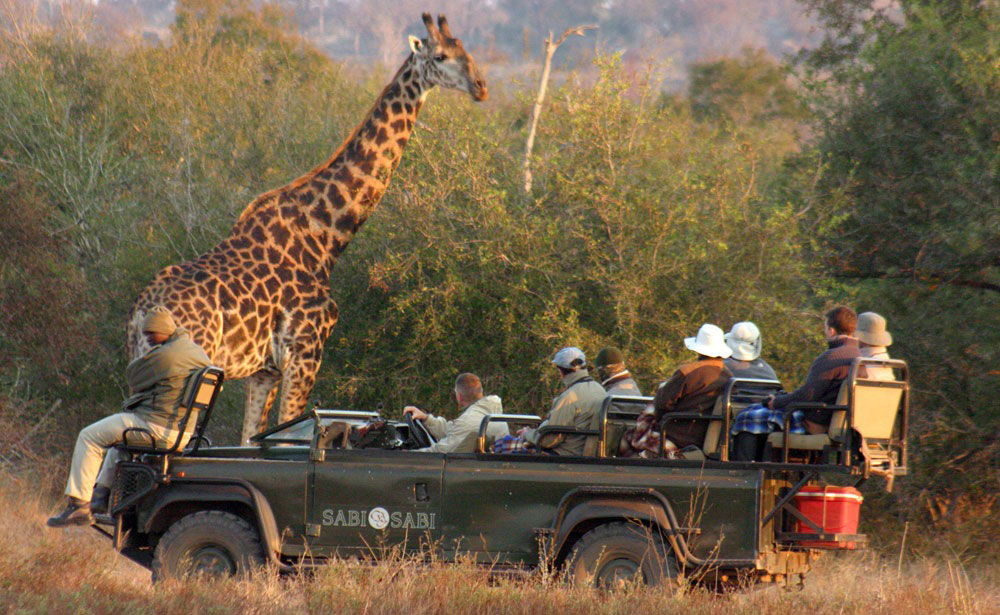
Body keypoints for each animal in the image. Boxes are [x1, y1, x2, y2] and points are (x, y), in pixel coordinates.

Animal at [127, 13, 486, 442]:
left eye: (467, 51)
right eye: (441, 56)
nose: (481, 86)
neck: (326, 234)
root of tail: (141, 312)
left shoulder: (264, 370)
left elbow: (250, 437)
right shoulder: (305, 354)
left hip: (140, 366)